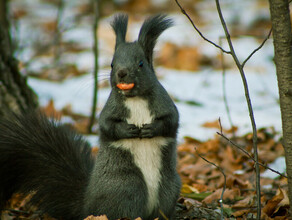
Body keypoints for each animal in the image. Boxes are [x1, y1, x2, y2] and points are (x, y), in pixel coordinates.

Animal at [0, 14, 181, 220]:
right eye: (112, 64)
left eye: (141, 64)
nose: (122, 73)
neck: (135, 99)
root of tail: (87, 205)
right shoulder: (109, 109)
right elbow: (106, 125)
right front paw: (127, 129)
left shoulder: (164, 103)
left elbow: (171, 120)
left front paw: (151, 128)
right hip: (126, 186)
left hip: (168, 189)